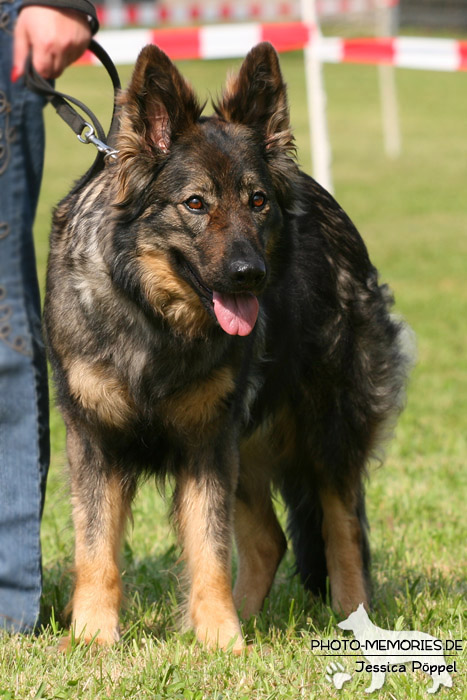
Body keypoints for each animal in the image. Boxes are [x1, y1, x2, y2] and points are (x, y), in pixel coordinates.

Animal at [44, 42, 414, 652]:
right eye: (195, 204)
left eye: (257, 201)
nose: (250, 275)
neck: (155, 318)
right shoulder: (96, 440)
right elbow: (96, 549)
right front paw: (95, 637)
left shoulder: (208, 442)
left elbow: (210, 547)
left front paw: (219, 638)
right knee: (269, 539)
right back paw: (246, 617)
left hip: (325, 429)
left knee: (341, 529)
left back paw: (350, 619)